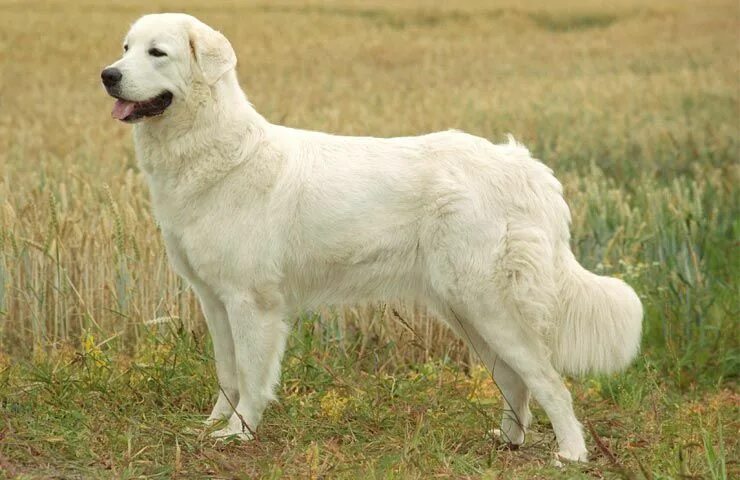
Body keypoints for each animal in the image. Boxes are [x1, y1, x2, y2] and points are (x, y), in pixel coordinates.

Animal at [102, 14, 640, 462]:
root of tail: (522, 164)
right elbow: (227, 374)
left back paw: (571, 454)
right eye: (126, 47)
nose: (108, 75)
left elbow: (252, 377)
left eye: (157, 52)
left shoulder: (251, 302)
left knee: (550, 381)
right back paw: (507, 441)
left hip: (488, 304)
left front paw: (240, 434)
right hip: (466, 310)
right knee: (515, 379)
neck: (213, 148)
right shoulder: (214, 299)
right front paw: (212, 426)